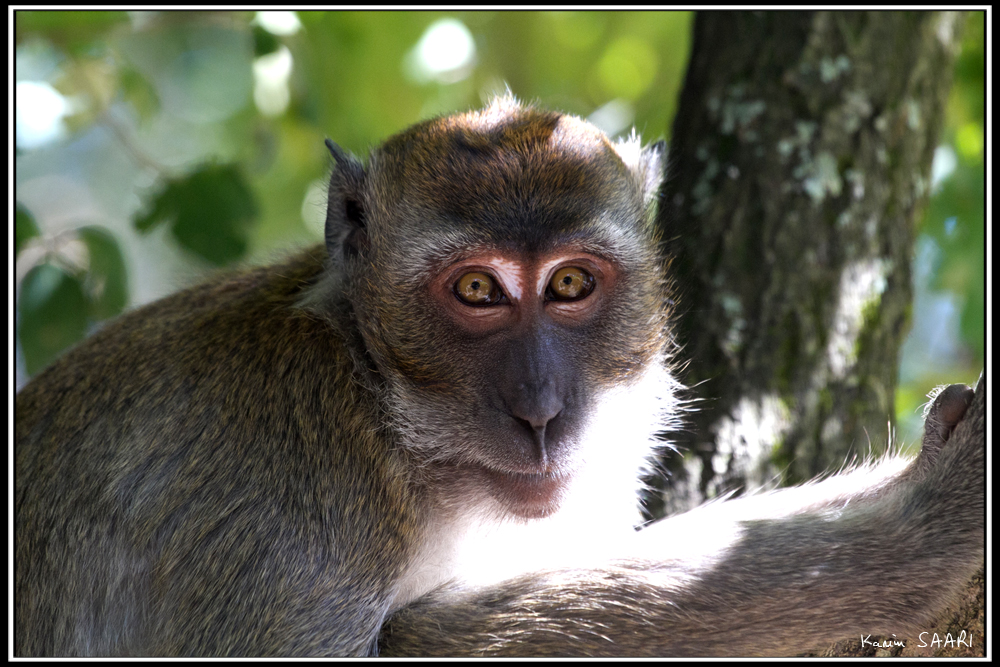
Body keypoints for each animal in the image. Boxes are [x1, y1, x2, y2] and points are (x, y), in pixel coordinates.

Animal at [15, 98, 984, 656]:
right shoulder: (294, 491)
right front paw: (927, 529)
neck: (381, 402)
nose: (541, 411)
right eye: (478, 290)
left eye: (570, 285)